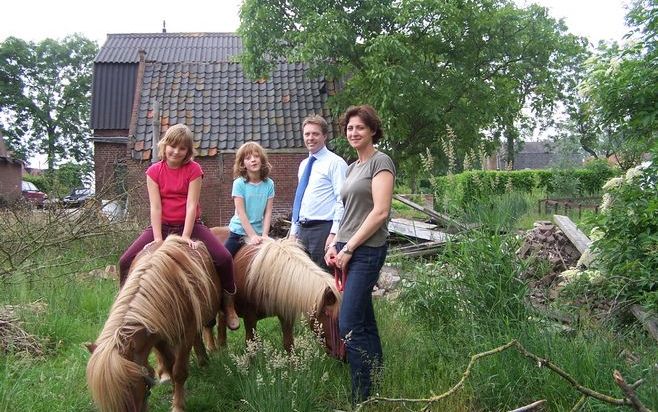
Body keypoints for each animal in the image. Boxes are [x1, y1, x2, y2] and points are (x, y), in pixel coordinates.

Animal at [86, 235, 219, 412]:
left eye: (129, 385)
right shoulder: (158, 336)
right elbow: (169, 363)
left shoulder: (186, 333)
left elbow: (179, 371)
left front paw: (178, 406)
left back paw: (203, 361)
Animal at [205, 227, 340, 358]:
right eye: (334, 320)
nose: (341, 357)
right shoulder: (249, 317)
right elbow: (251, 346)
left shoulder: (286, 314)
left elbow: (288, 344)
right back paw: (212, 350)